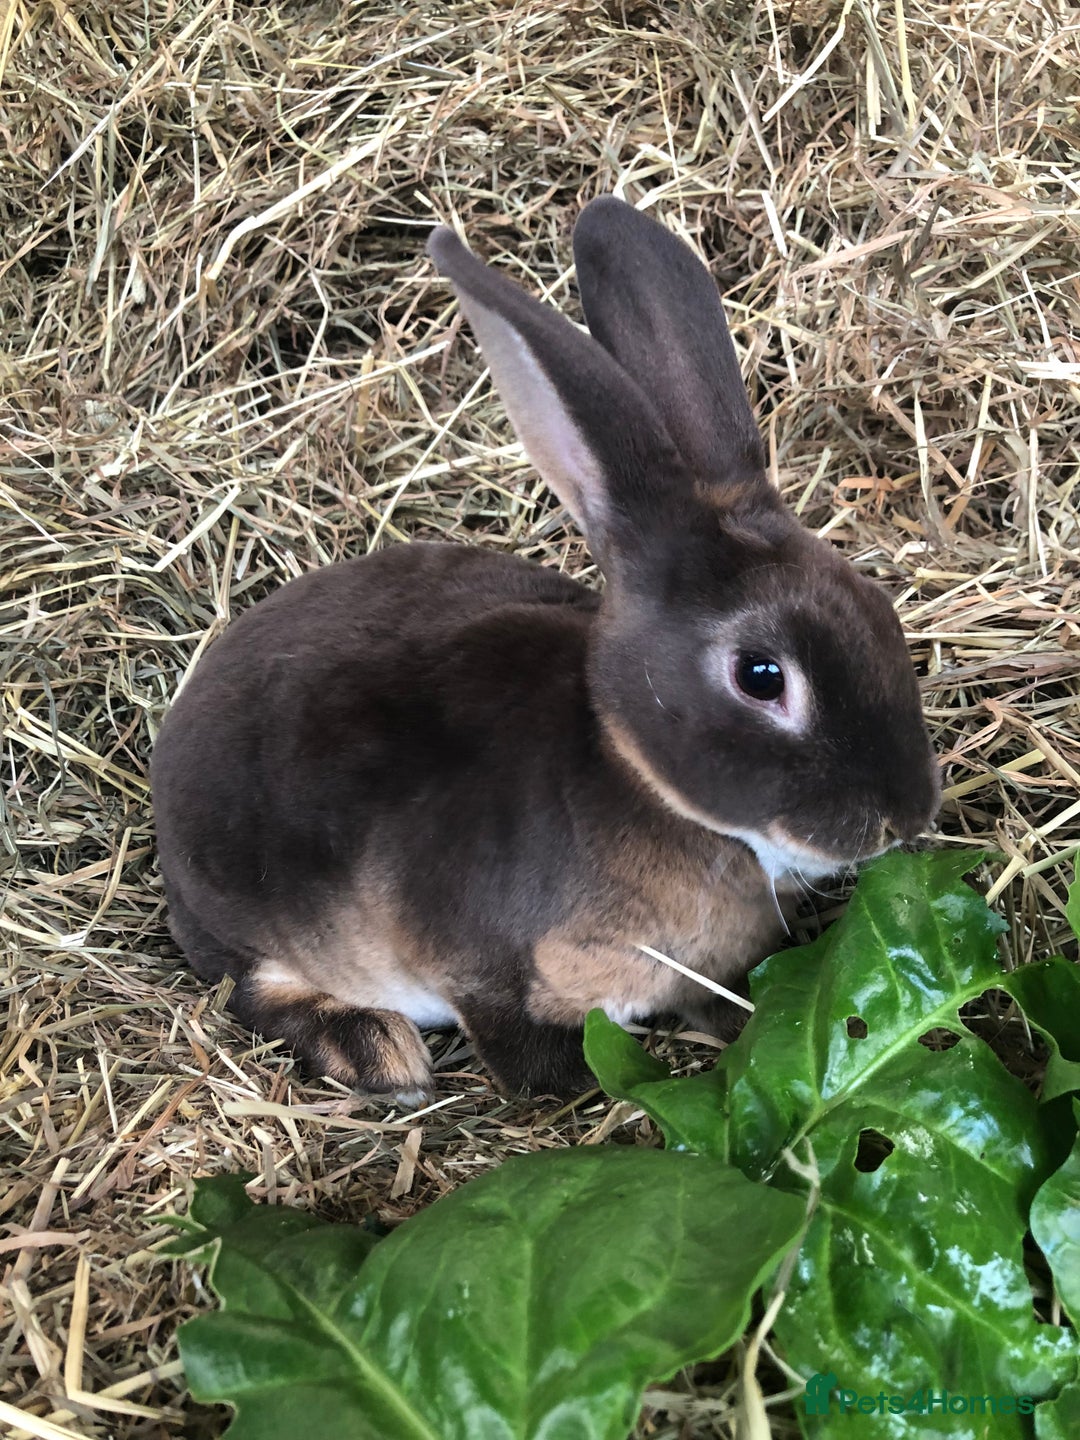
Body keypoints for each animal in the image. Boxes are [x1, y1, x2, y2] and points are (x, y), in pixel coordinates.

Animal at [151, 196, 940, 1102]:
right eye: (761, 675)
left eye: (878, 605)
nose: (906, 814)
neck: (635, 775)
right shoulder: (479, 965)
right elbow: (520, 1048)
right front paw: (567, 1085)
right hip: (257, 919)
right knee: (254, 987)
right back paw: (376, 1052)